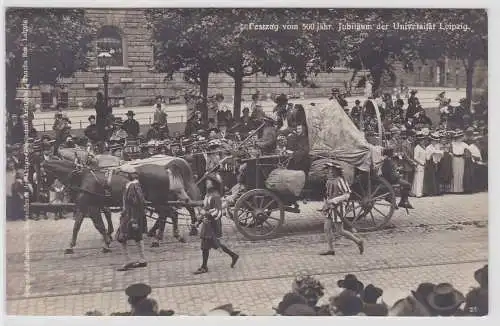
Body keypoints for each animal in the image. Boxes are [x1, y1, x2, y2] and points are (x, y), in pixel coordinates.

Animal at [42, 157, 199, 253]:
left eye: (43, 172)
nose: (48, 189)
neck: (82, 177)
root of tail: (165, 167)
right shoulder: (83, 207)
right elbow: (77, 226)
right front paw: (70, 246)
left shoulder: (92, 208)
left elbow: (99, 225)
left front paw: (106, 243)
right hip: (160, 200)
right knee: (170, 214)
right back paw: (168, 235)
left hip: (157, 201)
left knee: (168, 214)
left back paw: (163, 237)